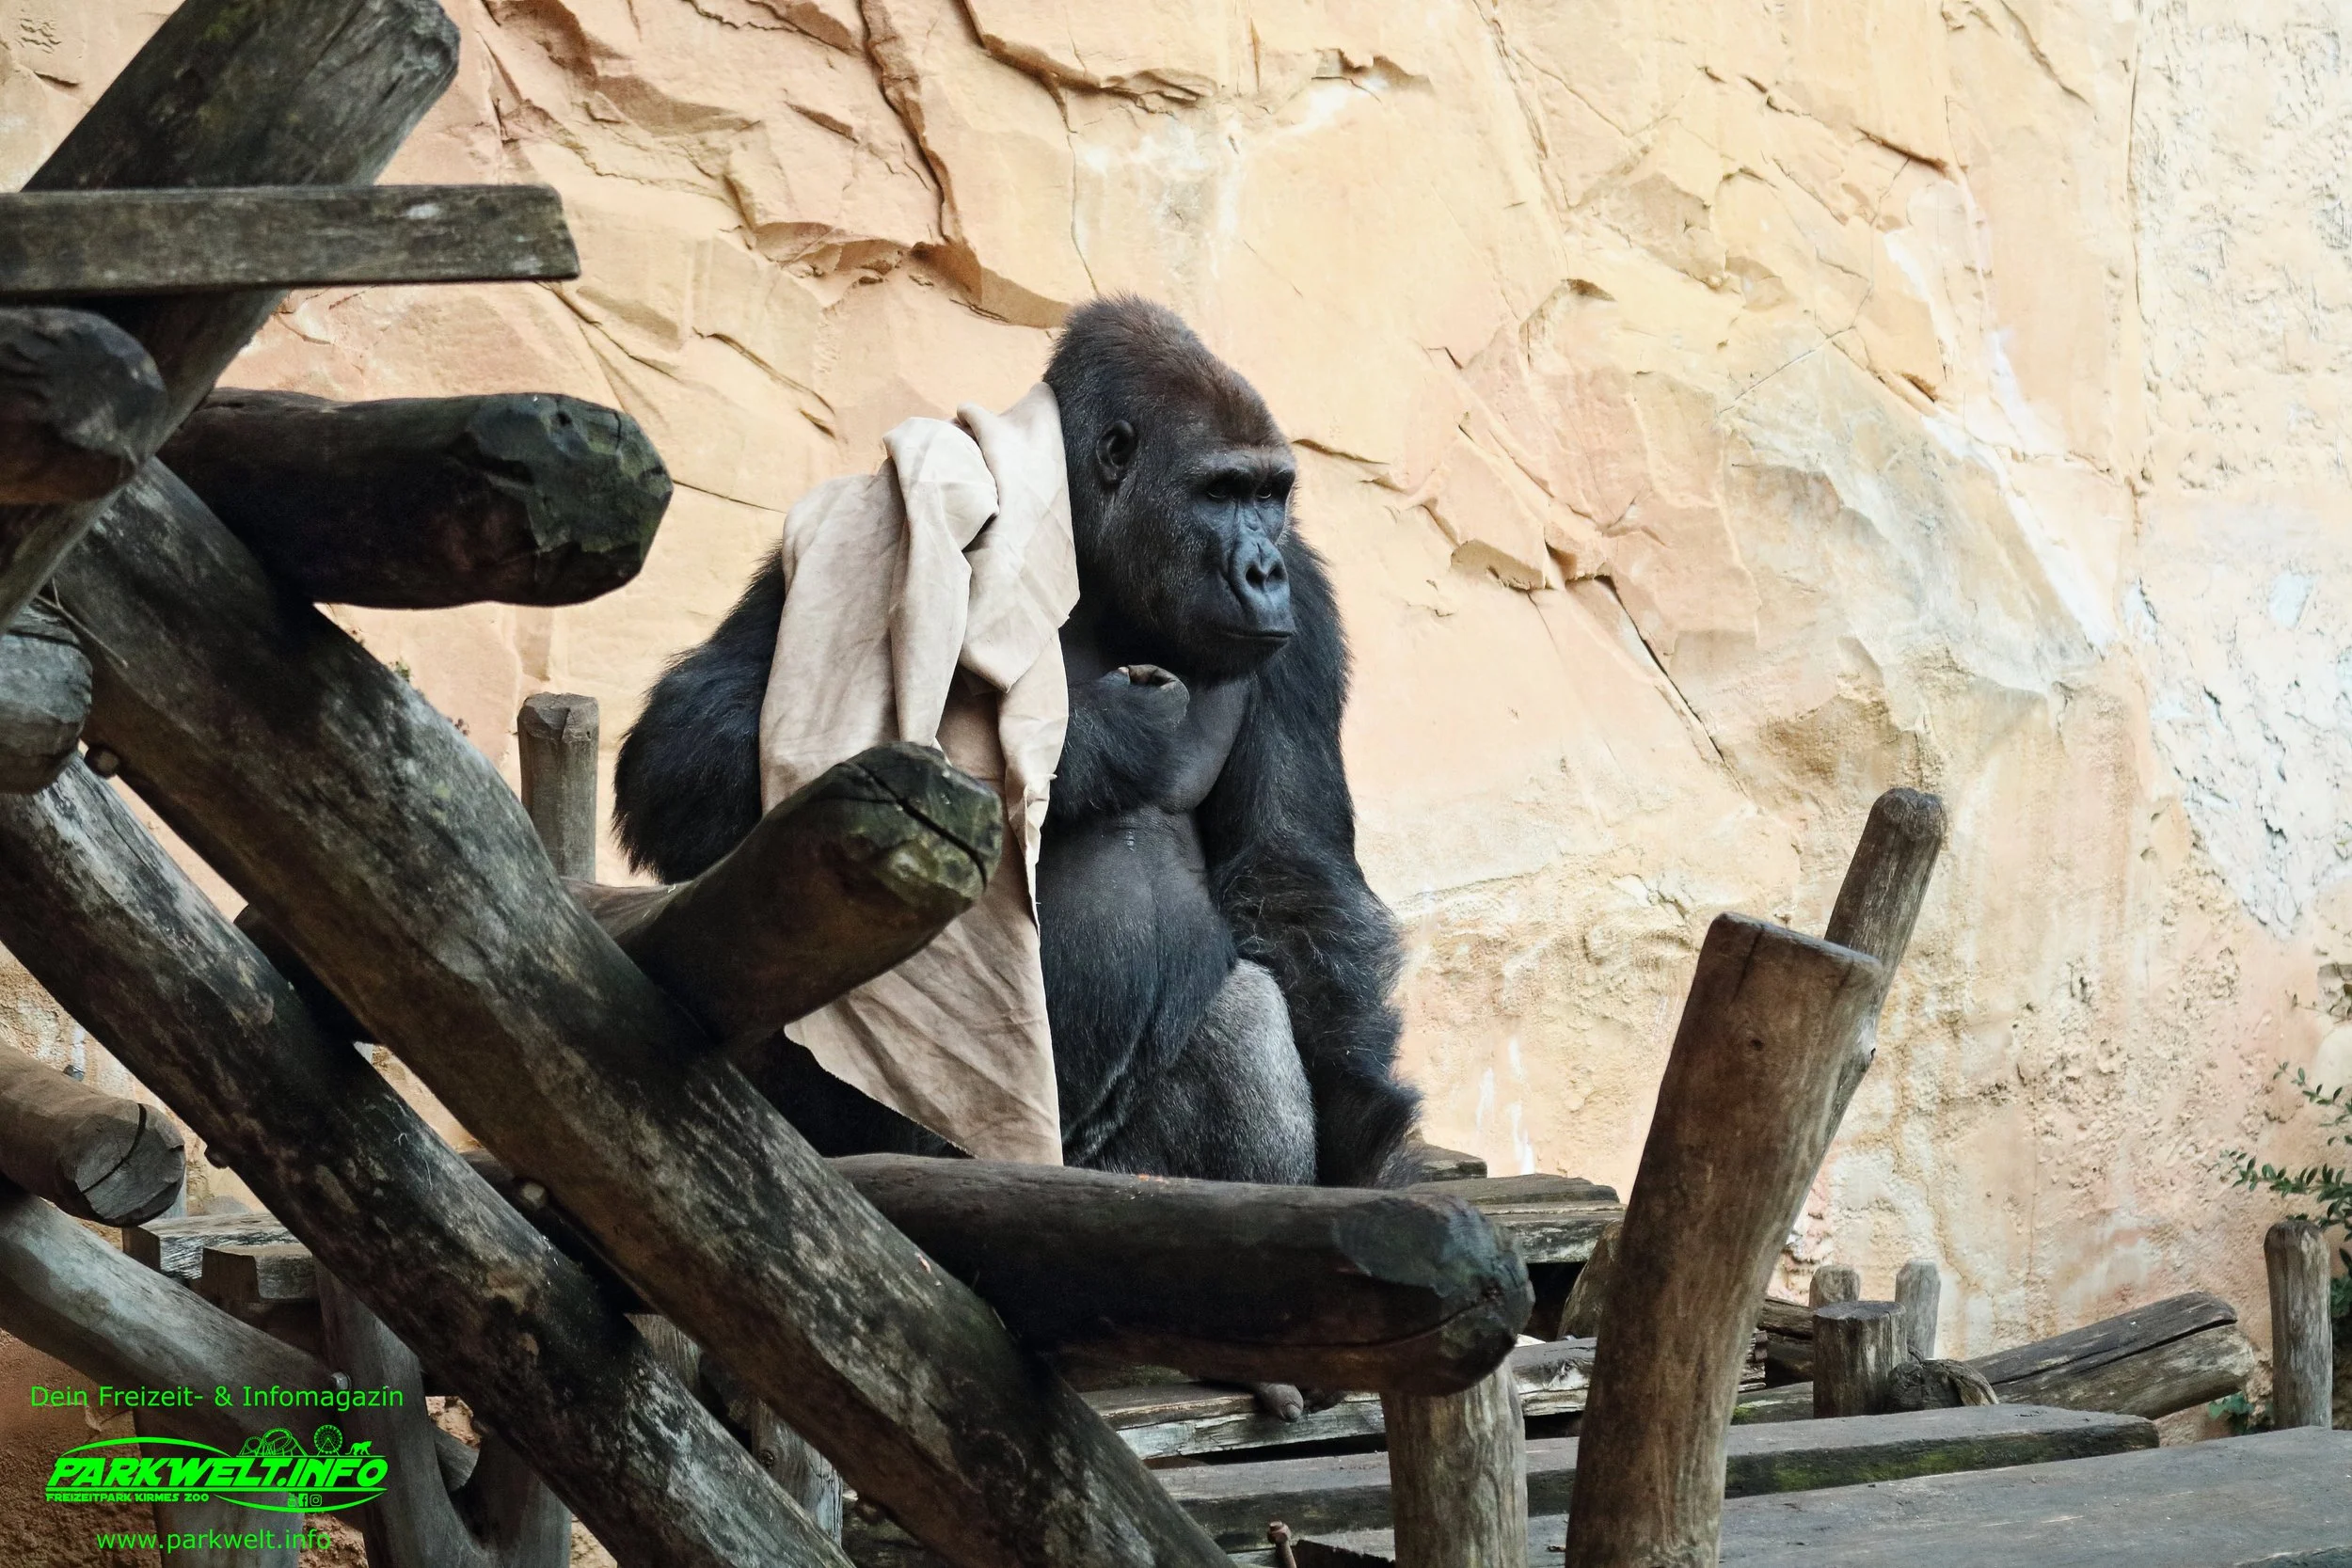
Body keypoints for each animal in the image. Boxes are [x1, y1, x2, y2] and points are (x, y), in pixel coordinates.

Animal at [612, 297, 1420, 1191]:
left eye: (1271, 495)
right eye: (1221, 491)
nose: (1263, 568)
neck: (1098, 569)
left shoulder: (1304, 606)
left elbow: (1293, 876)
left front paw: (1366, 1145)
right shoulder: (875, 511)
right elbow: (693, 740)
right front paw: (1092, 741)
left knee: (1247, 1017)